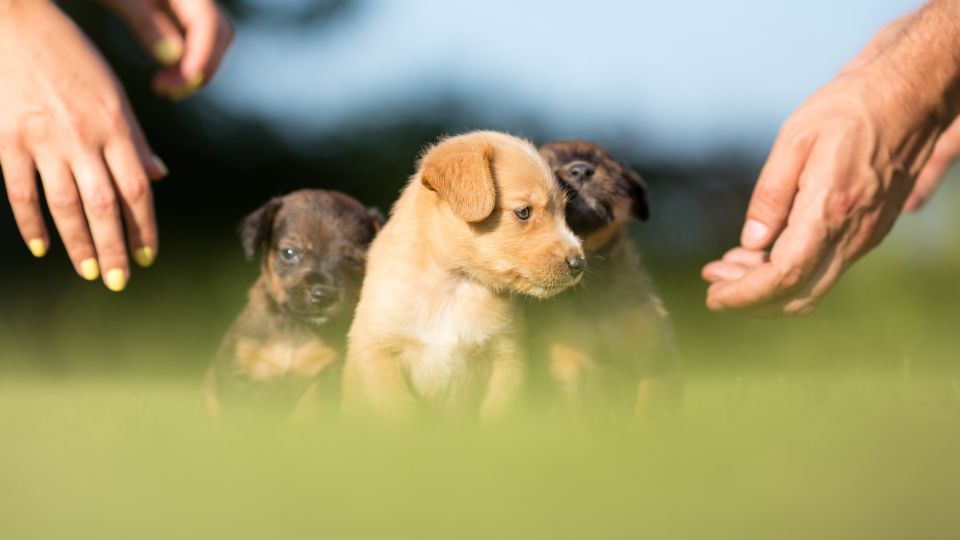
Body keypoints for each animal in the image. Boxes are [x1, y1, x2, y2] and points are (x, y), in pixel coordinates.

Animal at [206, 190, 382, 422]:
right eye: (289, 253)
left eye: (354, 261)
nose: (323, 295)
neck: (294, 326)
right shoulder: (235, 372)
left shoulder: (329, 374)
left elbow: (308, 406)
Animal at [344, 132, 584, 426]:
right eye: (523, 212)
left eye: (563, 211)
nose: (579, 263)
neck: (456, 285)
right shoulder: (377, 350)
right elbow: (403, 413)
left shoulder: (507, 356)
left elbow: (496, 416)